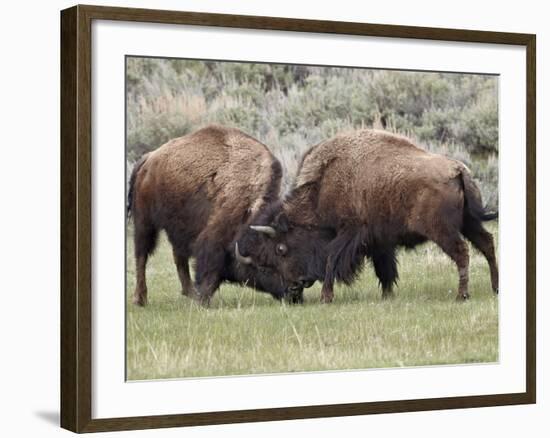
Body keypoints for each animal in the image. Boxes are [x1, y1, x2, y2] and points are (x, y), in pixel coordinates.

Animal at [128, 125, 302, 306]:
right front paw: (203, 299)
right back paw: (140, 299)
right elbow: (210, 265)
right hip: (144, 222)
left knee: (178, 256)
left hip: (175, 227)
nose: (295, 291)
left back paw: (189, 292)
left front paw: (199, 297)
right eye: (264, 267)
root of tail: (148, 159)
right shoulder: (216, 233)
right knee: (142, 255)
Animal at [237, 128, 500, 302]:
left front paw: (326, 297)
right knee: (487, 244)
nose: (296, 285)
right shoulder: (379, 241)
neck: (322, 187)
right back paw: (495, 288)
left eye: (281, 249)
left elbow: (331, 258)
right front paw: (387, 295)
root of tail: (458, 170)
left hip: (443, 230)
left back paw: (462, 295)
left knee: (462, 252)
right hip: (469, 223)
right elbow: (385, 269)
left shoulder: (350, 232)